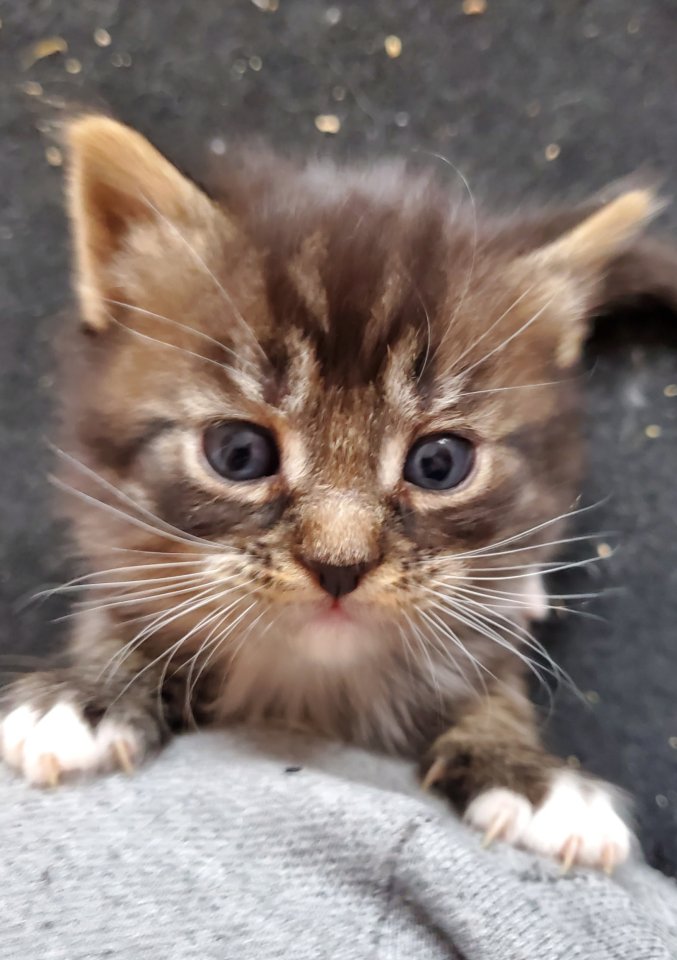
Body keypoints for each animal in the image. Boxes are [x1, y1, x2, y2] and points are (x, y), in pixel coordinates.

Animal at [2, 116, 672, 872]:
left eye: (439, 463)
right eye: (239, 453)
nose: (339, 567)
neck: (308, 690)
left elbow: (494, 687)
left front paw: (526, 773)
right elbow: (117, 624)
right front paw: (90, 693)